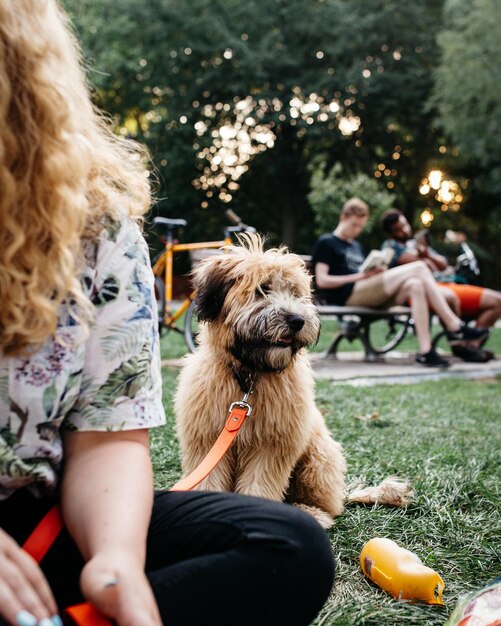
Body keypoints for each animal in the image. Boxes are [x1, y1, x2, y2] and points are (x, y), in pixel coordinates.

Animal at [175, 234, 344, 528]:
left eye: (295, 293)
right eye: (262, 289)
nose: (297, 320)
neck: (249, 376)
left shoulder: (271, 444)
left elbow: (260, 483)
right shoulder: (207, 439)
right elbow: (208, 478)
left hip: (319, 460)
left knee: (329, 503)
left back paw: (312, 513)